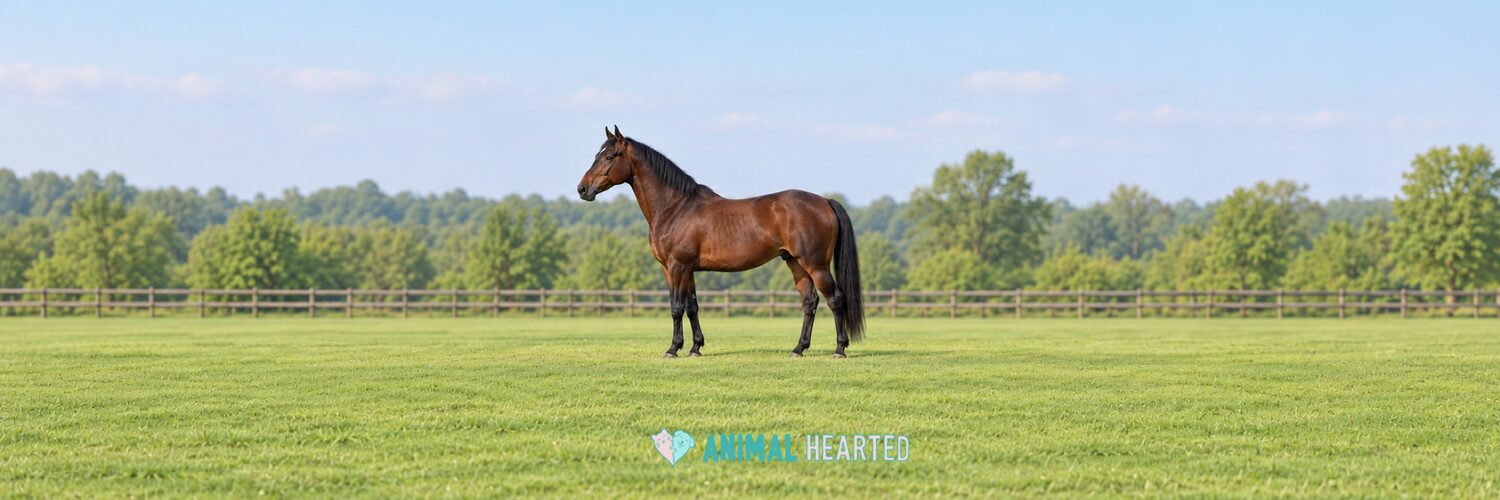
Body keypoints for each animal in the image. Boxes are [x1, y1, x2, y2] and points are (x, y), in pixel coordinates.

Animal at [576, 126, 864, 358]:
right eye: (596, 155)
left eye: (609, 156)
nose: (582, 189)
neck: (675, 207)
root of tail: (824, 201)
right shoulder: (685, 269)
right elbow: (692, 307)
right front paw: (695, 348)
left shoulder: (677, 266)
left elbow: (676, 307)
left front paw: (673, 349)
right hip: (795, 263)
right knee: (809, 303)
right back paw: (798, 349)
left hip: (816, 265)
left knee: (835, 299)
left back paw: (839, 349)